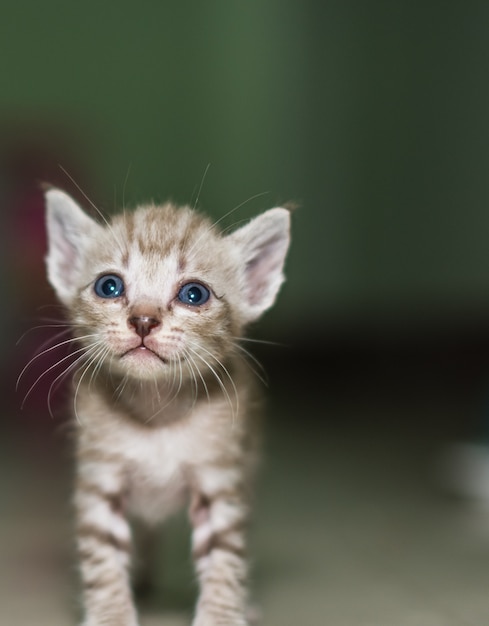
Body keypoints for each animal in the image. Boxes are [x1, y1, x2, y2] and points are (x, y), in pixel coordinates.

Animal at [43, 189, 290, 624]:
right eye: (109, 286)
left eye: (194, 294)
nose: (143, 320)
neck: (156, 409)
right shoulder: (100, 476)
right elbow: (103, 556)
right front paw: (111, 614)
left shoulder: (220, 479)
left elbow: (226, 554)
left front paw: (222, 614)